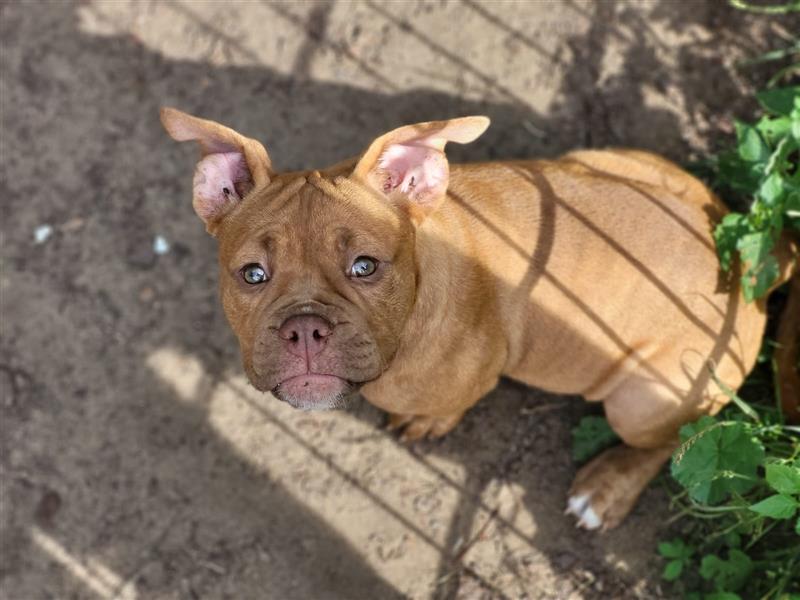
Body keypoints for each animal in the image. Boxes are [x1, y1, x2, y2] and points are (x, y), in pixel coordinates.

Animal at [161, 108, 792, 528]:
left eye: (365, 266)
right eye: (252, 275)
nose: (304, 327)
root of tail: (753, 266)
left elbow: (449, 404)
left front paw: (428, 421)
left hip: (643, 399)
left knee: (674, 442)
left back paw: (604, 491)